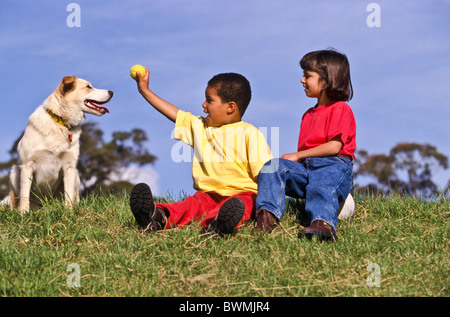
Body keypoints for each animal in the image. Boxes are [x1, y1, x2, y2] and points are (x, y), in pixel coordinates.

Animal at [0, 76, 112, 212]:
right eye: (88, 86)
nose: (112, 92)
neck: (60, 123)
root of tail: (44, 206)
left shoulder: (69, 167)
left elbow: (68, 195)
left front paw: (69, 212)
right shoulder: (27, 165)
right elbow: (24, 195)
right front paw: (23, 213)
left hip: (76, 176)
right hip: (15, 171)